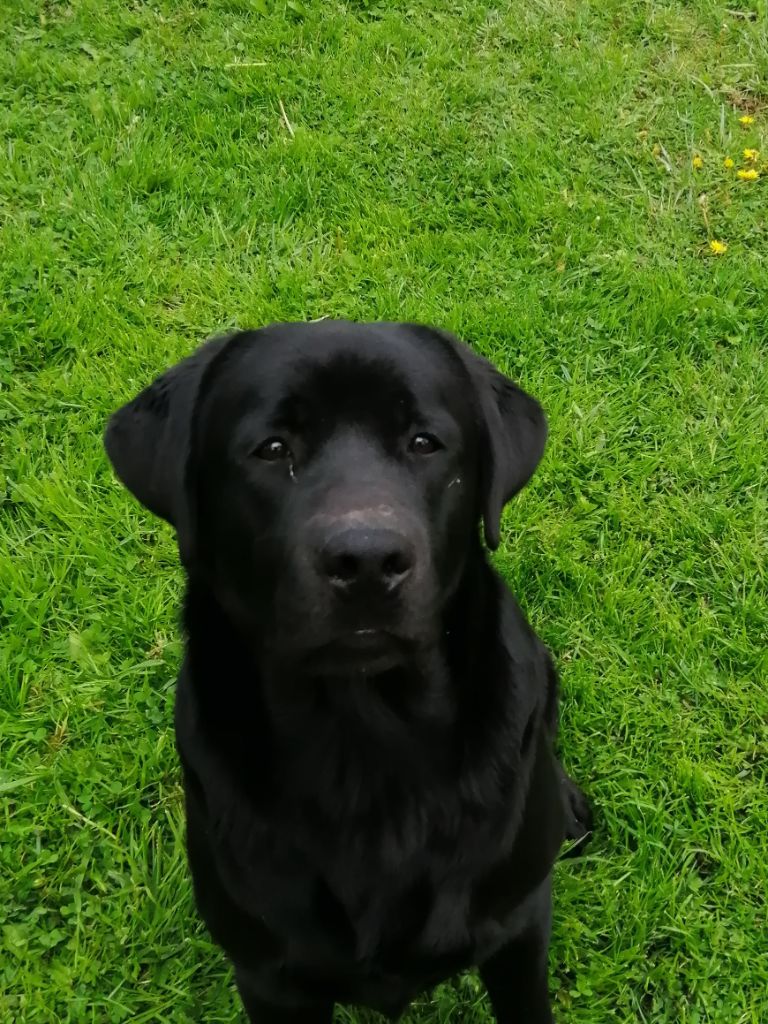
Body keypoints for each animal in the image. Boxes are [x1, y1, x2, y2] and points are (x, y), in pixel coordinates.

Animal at [105, 321, 593, 1024]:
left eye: (423, 443)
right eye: (272, 449)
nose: (366, 559)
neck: (365, 738)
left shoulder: (518, 928)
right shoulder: (269, 977)